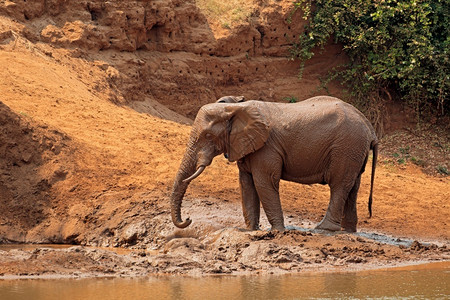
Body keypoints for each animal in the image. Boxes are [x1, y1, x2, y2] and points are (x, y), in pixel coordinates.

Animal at [171, 96, 378, 232]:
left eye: (207, 136)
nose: (188, 219)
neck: (235, 107)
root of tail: (370, 127)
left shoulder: (266, 148)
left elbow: (264, 182)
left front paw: (277, 231)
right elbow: (246, 184)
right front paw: (251, 230)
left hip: (346, 147)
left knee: (339, 185)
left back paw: (323, 229)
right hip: (353, 150)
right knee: (352, 187)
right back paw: (348, 230)